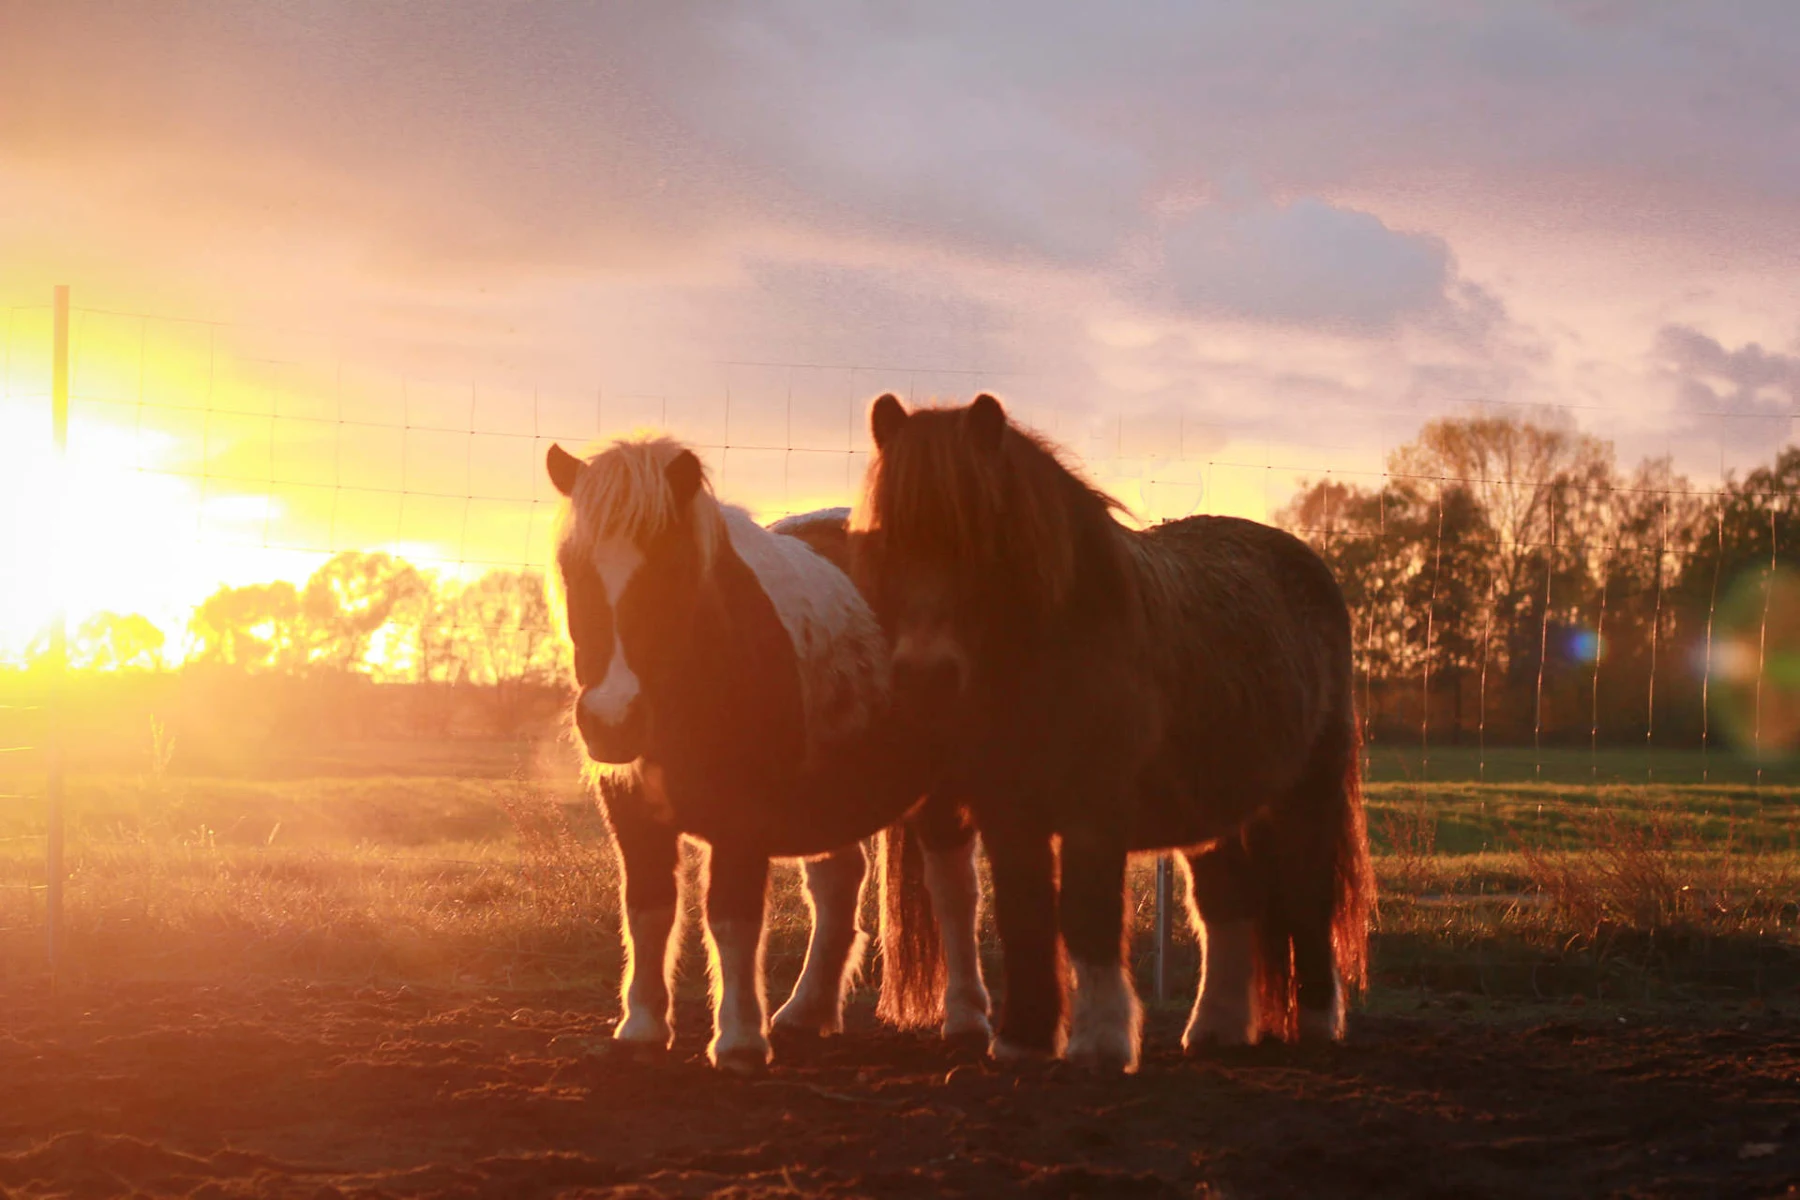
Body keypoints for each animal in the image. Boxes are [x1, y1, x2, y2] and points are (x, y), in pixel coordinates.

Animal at [544, 436, 992, 1072]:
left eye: (669, 572)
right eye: (573, 570)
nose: (612, 719)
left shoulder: (742, 820)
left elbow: (731, 918)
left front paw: (738, 1041)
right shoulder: (633, 814)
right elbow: (649, 909)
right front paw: (642, 1029)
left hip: (944, 788)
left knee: (953, 890)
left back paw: (967, 1019)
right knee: (837, 886)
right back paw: (805, 1011)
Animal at [852, 394, 1374, 1074]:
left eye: (982, 535)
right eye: (886, 538)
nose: (925, 673)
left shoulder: (1094, 813)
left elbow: (1085, 914)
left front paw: (1099, 1042)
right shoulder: (1009, 814)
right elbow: (1025, 915)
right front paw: (1022, 1039)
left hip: (1306, 795)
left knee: (1308, 894)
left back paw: (1315, 1024)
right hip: (1218, 812)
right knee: (1228, 903)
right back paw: (1217, 1027)